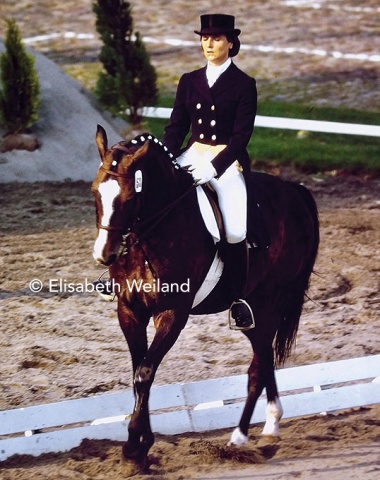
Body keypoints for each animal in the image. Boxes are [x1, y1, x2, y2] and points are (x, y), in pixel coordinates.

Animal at [91, 124, 318, 476]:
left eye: (130, 197)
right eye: (94, 192)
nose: (105, 254)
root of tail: (295, 191)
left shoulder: (173, 313)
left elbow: (145, 372)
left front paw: (133, 449)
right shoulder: (129, 310)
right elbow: (138, 373)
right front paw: (139, 451)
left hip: (270, 301)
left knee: (258, 367)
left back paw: (241, 437)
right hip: (253, 310)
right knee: (263, 358)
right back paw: (268, 429)